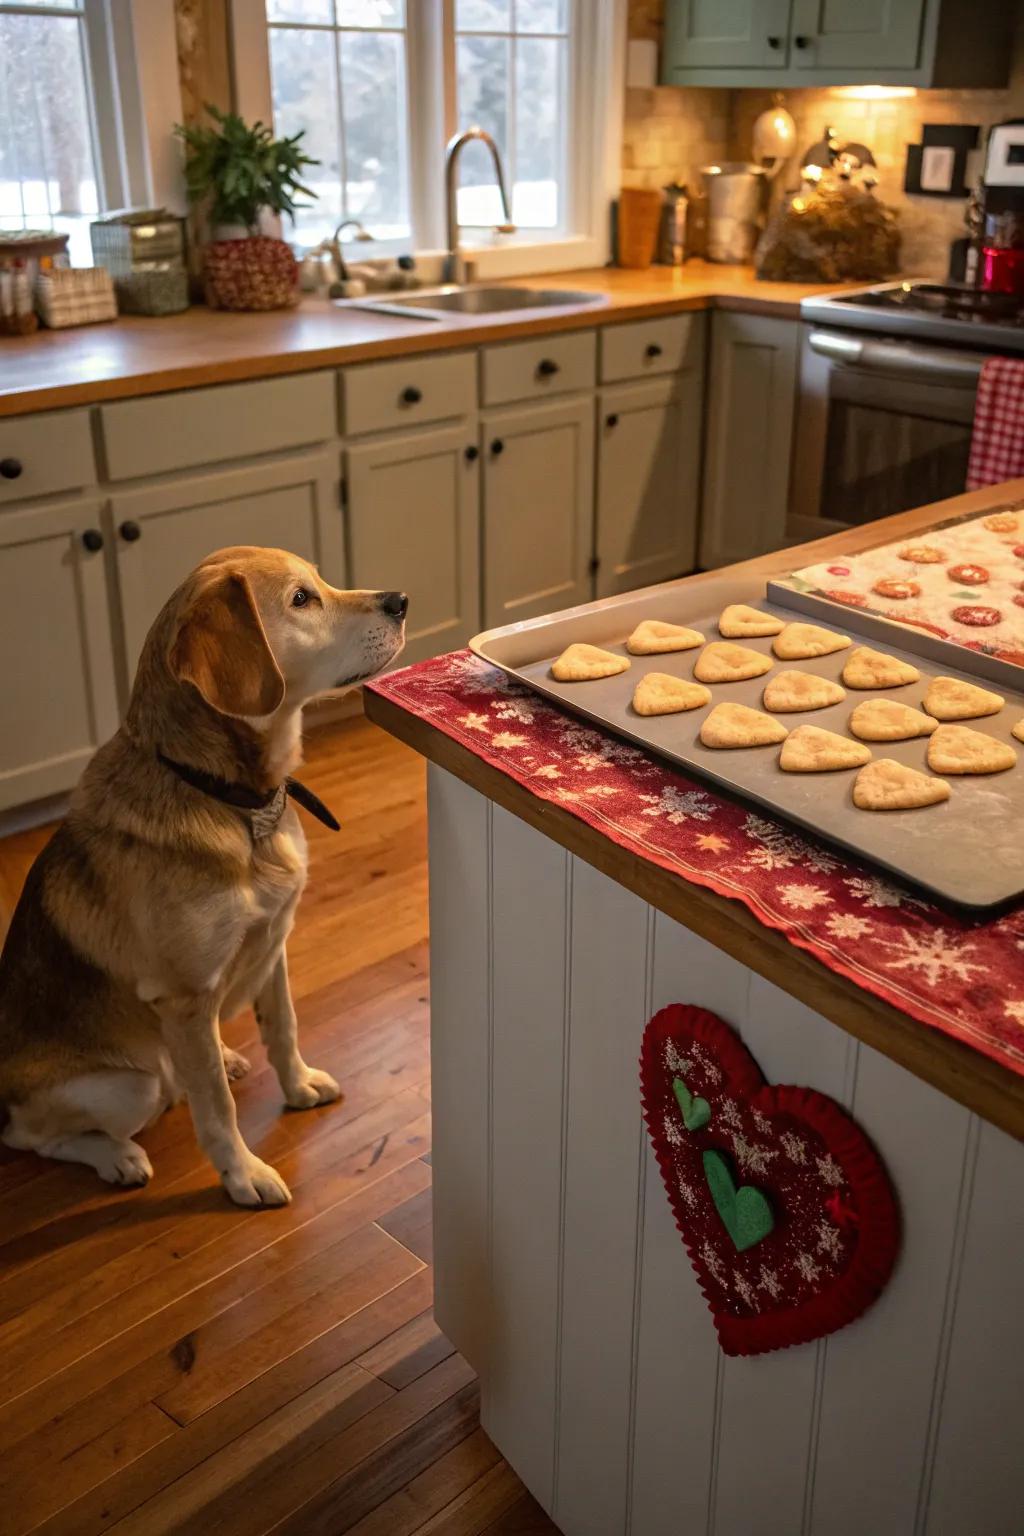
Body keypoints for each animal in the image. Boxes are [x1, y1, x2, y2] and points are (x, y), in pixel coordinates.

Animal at [0, 546, 405, 1204]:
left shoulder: (273, 946)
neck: (232, 800)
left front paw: (298, 1087)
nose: (402, 601)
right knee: (36, 1136)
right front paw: (244, 1176)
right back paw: (118, 1156)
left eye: (320, 580)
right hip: (128, 1086)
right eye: (301, 599)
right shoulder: (186, 996)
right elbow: (216, 1110)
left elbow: (283, 1028)